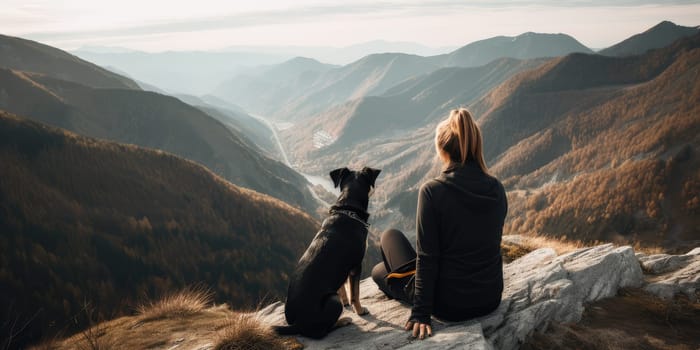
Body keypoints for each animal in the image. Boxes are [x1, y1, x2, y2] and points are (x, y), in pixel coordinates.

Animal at [274, 167, 382, 340]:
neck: (347, 208)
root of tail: (297, 325)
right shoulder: (356, 266)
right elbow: (355, 294)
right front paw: (359, 310)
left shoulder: (342, 269)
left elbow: (343, 287)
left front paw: (346, 302)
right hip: (332, 300)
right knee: (322, 332)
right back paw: (343, 320)